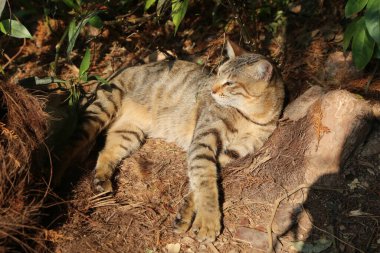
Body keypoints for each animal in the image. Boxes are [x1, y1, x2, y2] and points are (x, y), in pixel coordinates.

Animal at [58, 40, 284, 242]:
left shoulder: (231, 153)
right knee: (68, 147)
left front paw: (188, 214)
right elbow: (206, 183)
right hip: (101, 110)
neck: (250, 117)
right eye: (218, 74)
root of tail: (117, 71)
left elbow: (199, 183)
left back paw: (101, 180)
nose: (212, 90)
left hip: (129, 133)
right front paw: (209, 221)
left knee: (105, 152)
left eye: (230, 82)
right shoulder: (202, 142)